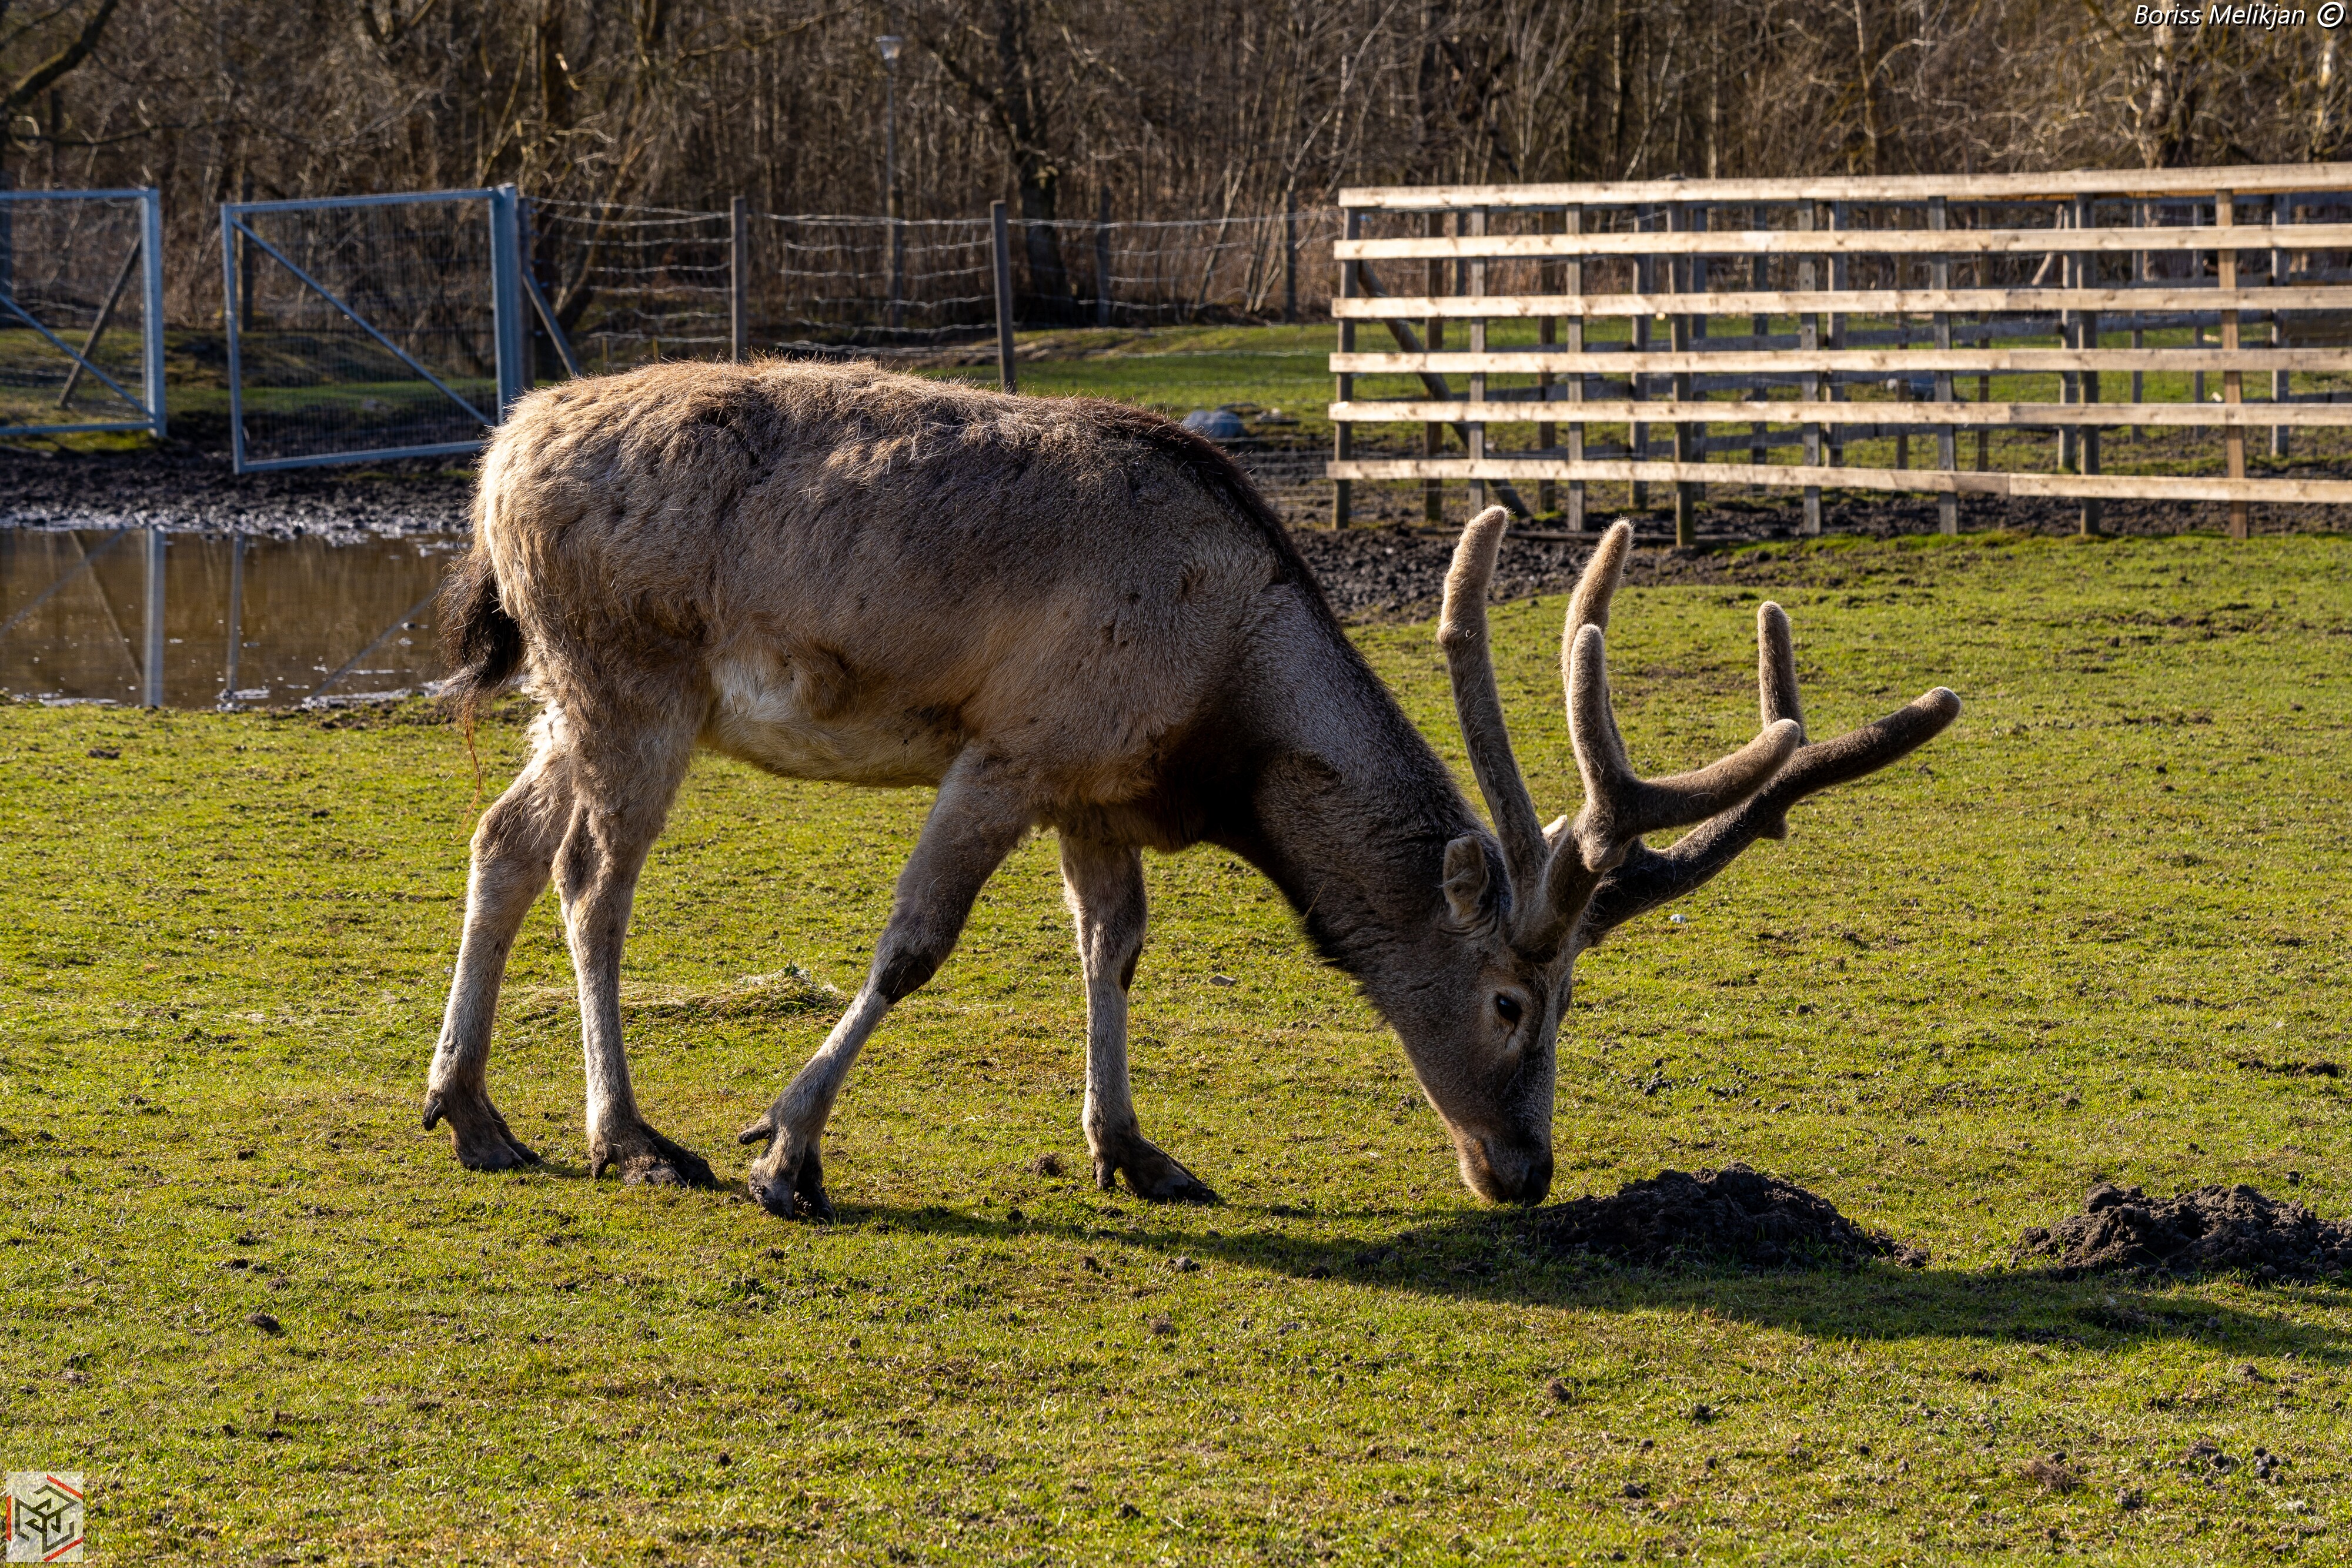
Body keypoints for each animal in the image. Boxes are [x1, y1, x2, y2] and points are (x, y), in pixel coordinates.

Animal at [423, 359, 1959, 1220]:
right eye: (1516, 1001)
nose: (1524, 1170)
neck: (1221, 696)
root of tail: (495, 460)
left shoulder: (1095, 788)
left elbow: (1113, 946)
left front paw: (1129, 1147)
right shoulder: (1014, 741)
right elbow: (913, 946)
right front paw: (783, 1151)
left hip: (568, 686)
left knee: (501, 836)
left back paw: (472, 1110)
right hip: (633, 674)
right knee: (591, 881)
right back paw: (628, 1137)